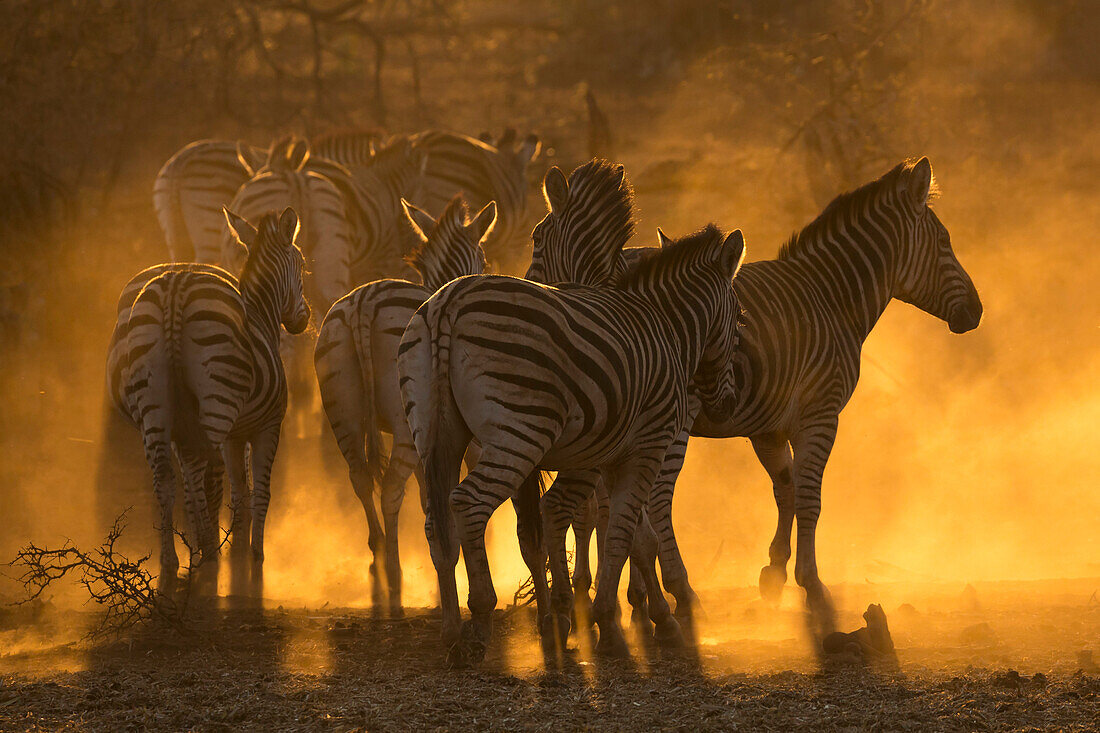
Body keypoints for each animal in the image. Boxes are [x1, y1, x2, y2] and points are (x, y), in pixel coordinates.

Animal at [312, 192, 497, 611]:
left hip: (343, 412)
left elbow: (432, 497)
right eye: (483, 259)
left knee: (361, 480)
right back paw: (394, 574)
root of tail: (363, 303)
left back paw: (378, 561)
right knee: (391, 490)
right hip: (403, 424)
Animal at [396, 222, 748, 660]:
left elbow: (636, 539)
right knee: (468, 503)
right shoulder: (648, 446)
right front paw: (620, 625)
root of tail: (447, 302)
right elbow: (621, 534)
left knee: (439, 520)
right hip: (520, 431)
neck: (666, 328)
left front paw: (643, 619)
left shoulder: (613, 454)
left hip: (434, 432)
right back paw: (479, 621)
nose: (727, 405)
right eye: (740, 323)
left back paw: (453, 629)